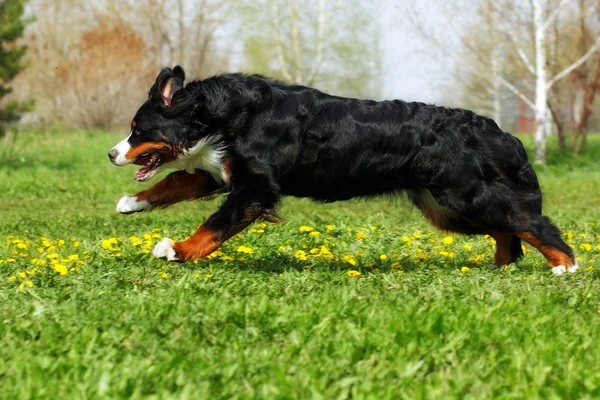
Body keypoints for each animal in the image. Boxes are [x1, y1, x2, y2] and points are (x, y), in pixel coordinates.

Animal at [108, 67, 576, 276]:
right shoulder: (226, 171)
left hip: (465, 196)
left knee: (530, 223)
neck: (224, 113)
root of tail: (498, 130)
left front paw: (176, 249)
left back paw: (565, 267)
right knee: (509, 233)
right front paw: (132, 202)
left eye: (137, 129)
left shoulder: (255, 185)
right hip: (449, 208)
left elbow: (214, 227)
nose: (112, 154)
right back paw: (499, 268)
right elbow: (177, 180)